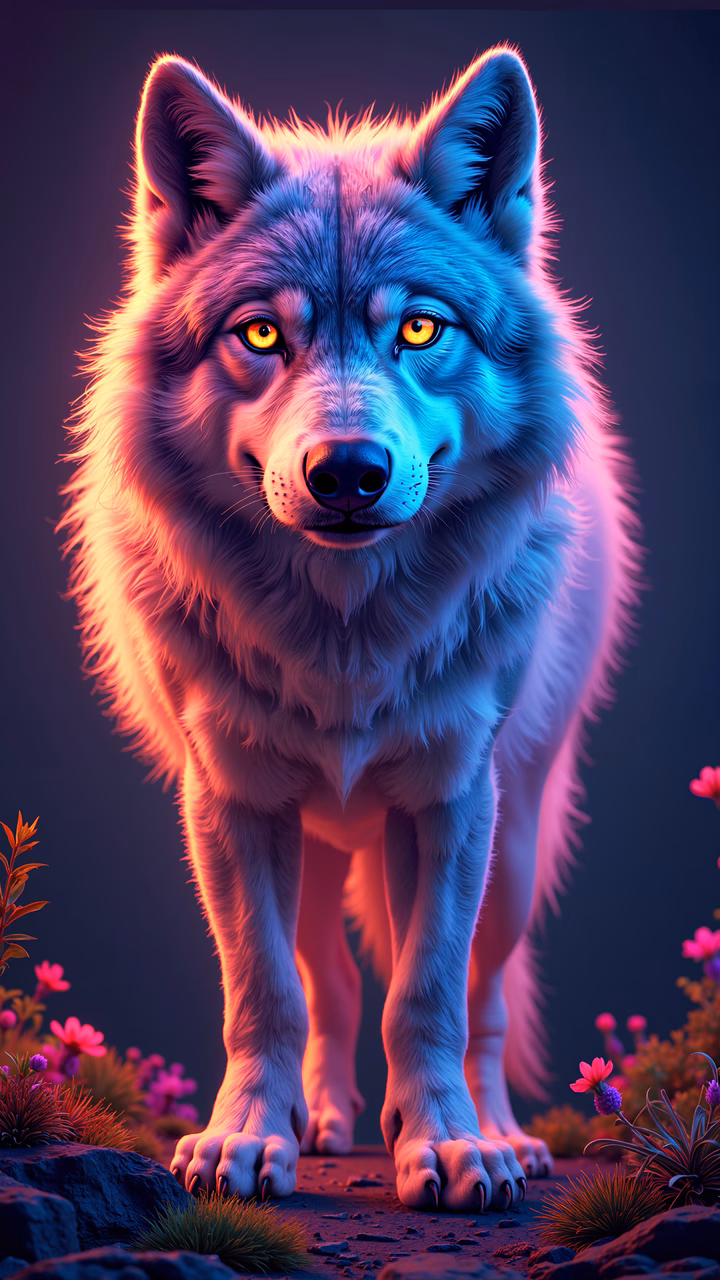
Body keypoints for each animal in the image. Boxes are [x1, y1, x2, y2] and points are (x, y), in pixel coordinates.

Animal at [56, 44, 642, 1210]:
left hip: (514, 845)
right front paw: (246, 1140)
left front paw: (448, 1148)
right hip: (316, 845)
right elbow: (265, 991)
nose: (347, 471)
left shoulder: (455, 802)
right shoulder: (229, 801)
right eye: (261, 333)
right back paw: (319, 1121)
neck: (345, 643)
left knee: (486, 998)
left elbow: (429, 995)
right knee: (325, 979)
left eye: (418, 326)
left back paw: (502, 1133)